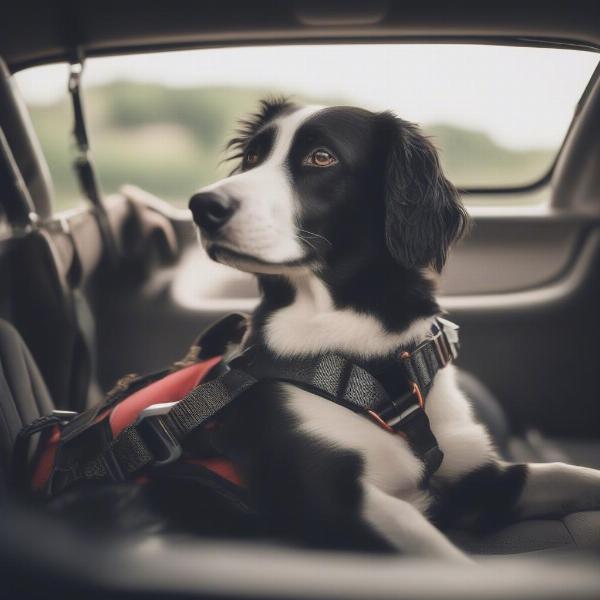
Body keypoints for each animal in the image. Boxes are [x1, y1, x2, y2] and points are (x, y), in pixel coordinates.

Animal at [188, 99, 600, 564]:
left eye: (321, 157)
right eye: (252, 158)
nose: (201, 206)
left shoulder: (477, 476)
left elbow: (574, 473)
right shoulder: (332, 502)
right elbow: (433, 548)